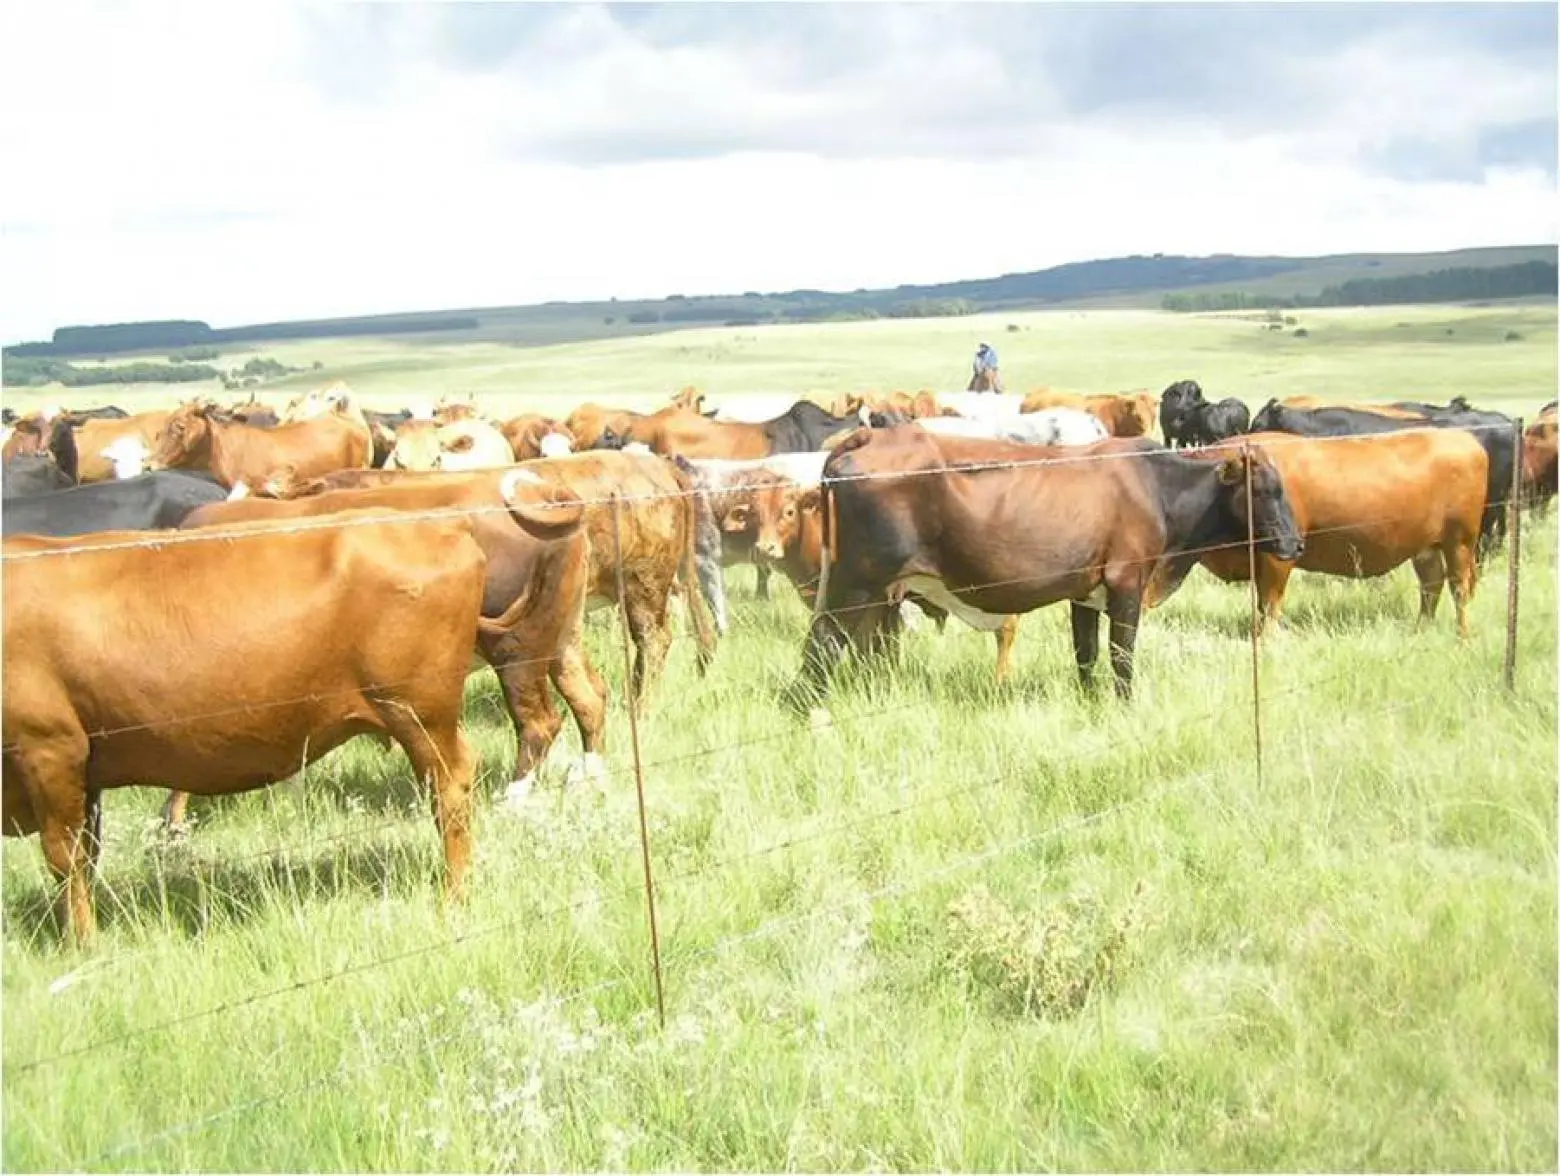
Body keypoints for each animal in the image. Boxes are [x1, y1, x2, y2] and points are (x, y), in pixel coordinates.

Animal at [1, 508, 486, 942]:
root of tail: (441, 523)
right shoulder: (84, 770)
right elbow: (87, 854)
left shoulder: (49, 747)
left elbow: (65, 857)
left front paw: (83, 947)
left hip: (420, 714)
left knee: (449, 788)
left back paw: (455, 897)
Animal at [1154, 427, 1491, 633]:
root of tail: (1466, 439)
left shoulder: (1279, 557)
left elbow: (1270, 606)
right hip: (1426, 548)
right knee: (1432, 587)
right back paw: (1420, 630)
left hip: (1459, 543)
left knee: (1459, 589)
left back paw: (1462, 637)